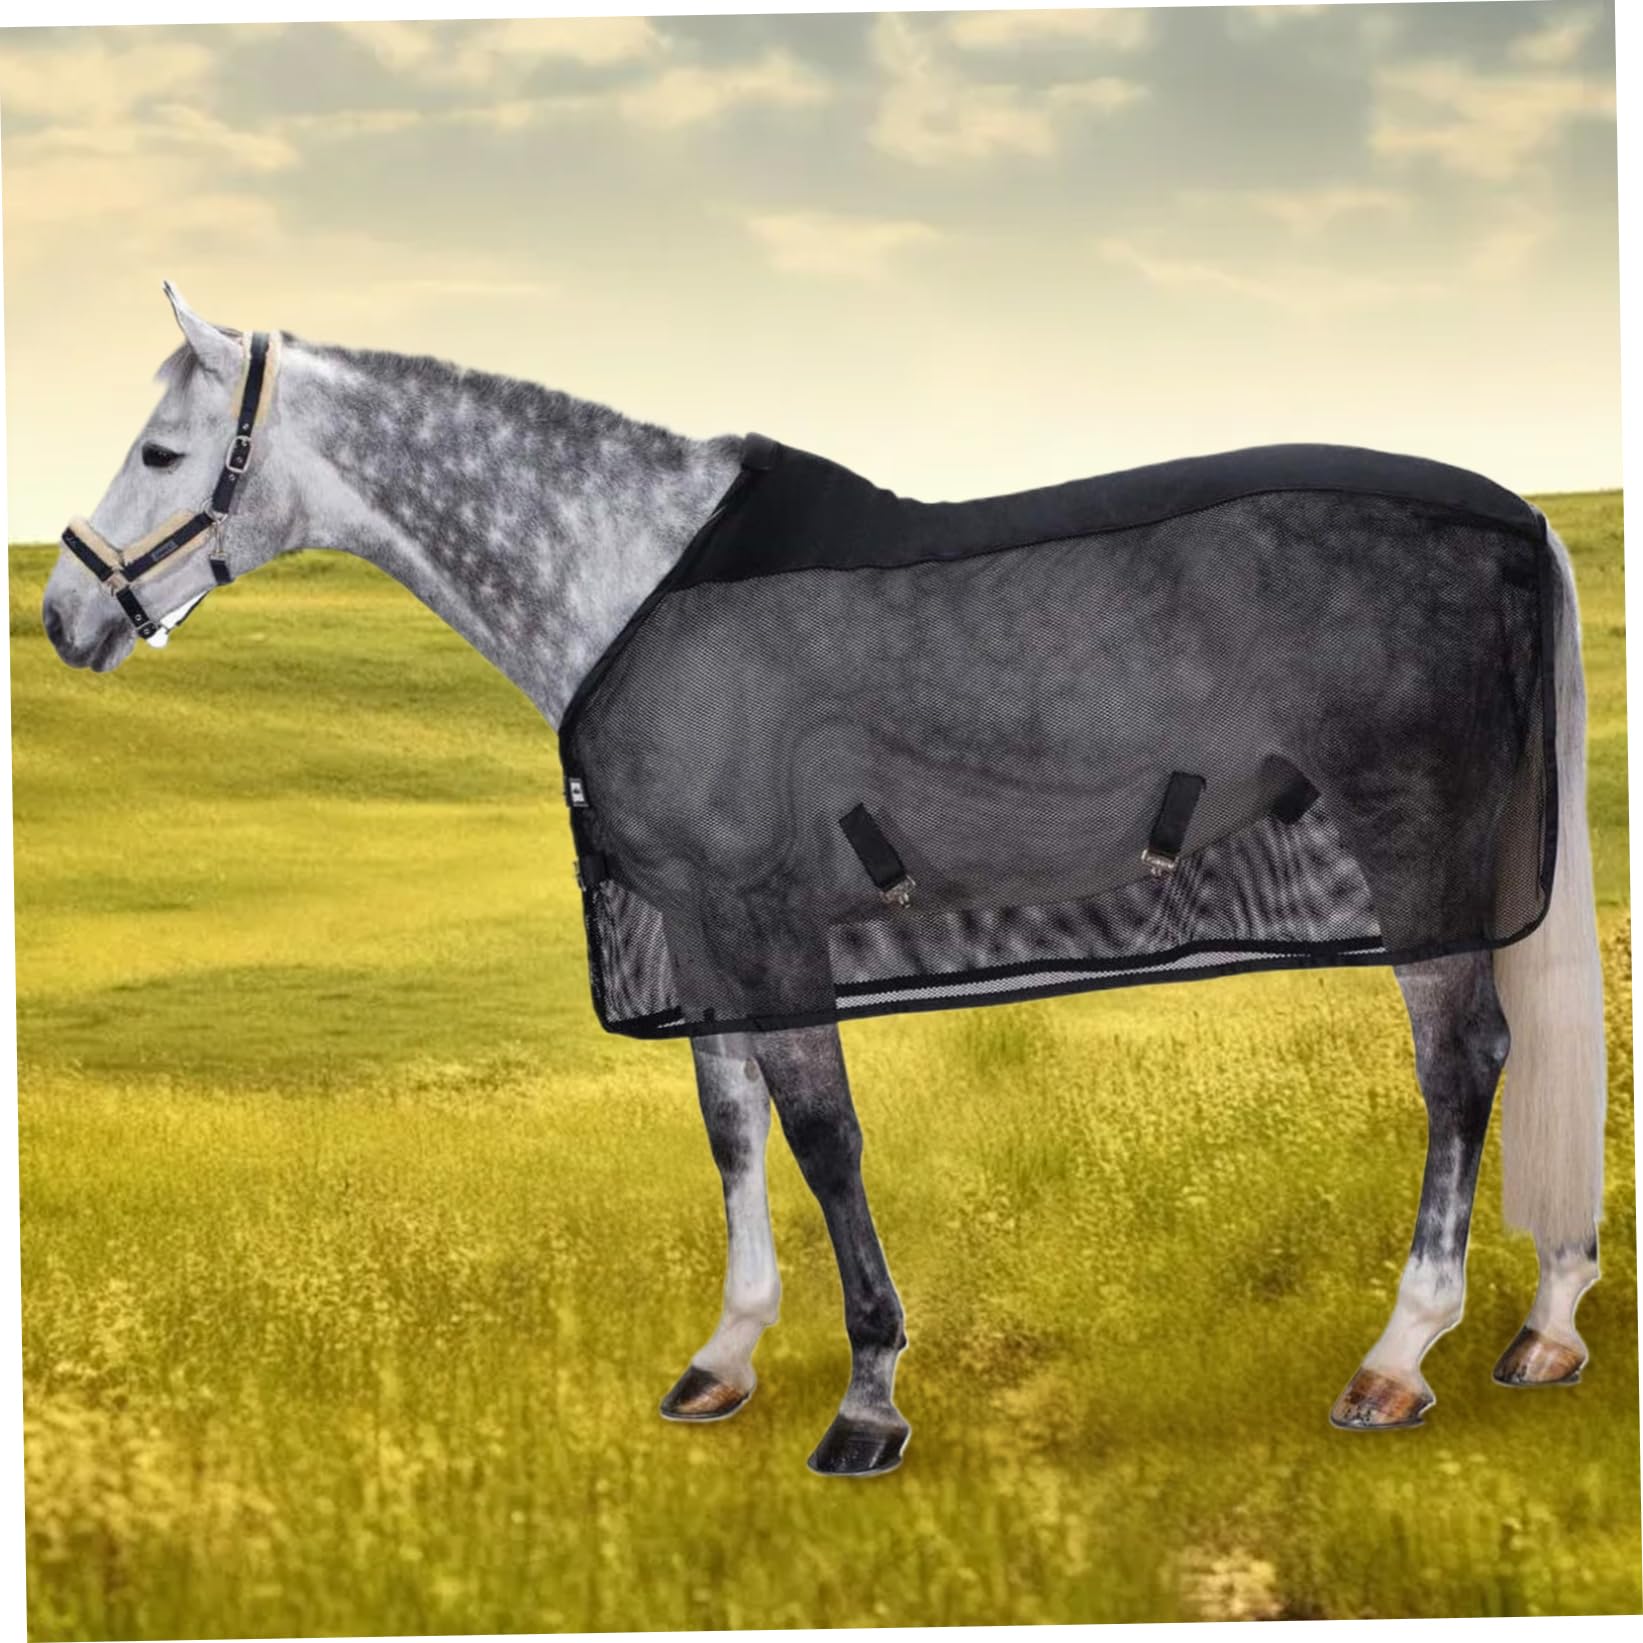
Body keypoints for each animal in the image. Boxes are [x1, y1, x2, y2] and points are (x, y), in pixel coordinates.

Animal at [40, 283, 1606, 1478]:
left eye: (165, 450)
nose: (65, 614)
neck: (631, 582)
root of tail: (1511, 518)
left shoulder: (762, 913)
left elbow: (821, 1134)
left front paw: (866, 1399)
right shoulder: (697, 926)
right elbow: (731, 1128)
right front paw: (725, 1354)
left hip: (1413, 837)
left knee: (1463, 1058)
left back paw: (1398, 1354)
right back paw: (1542, 1327)